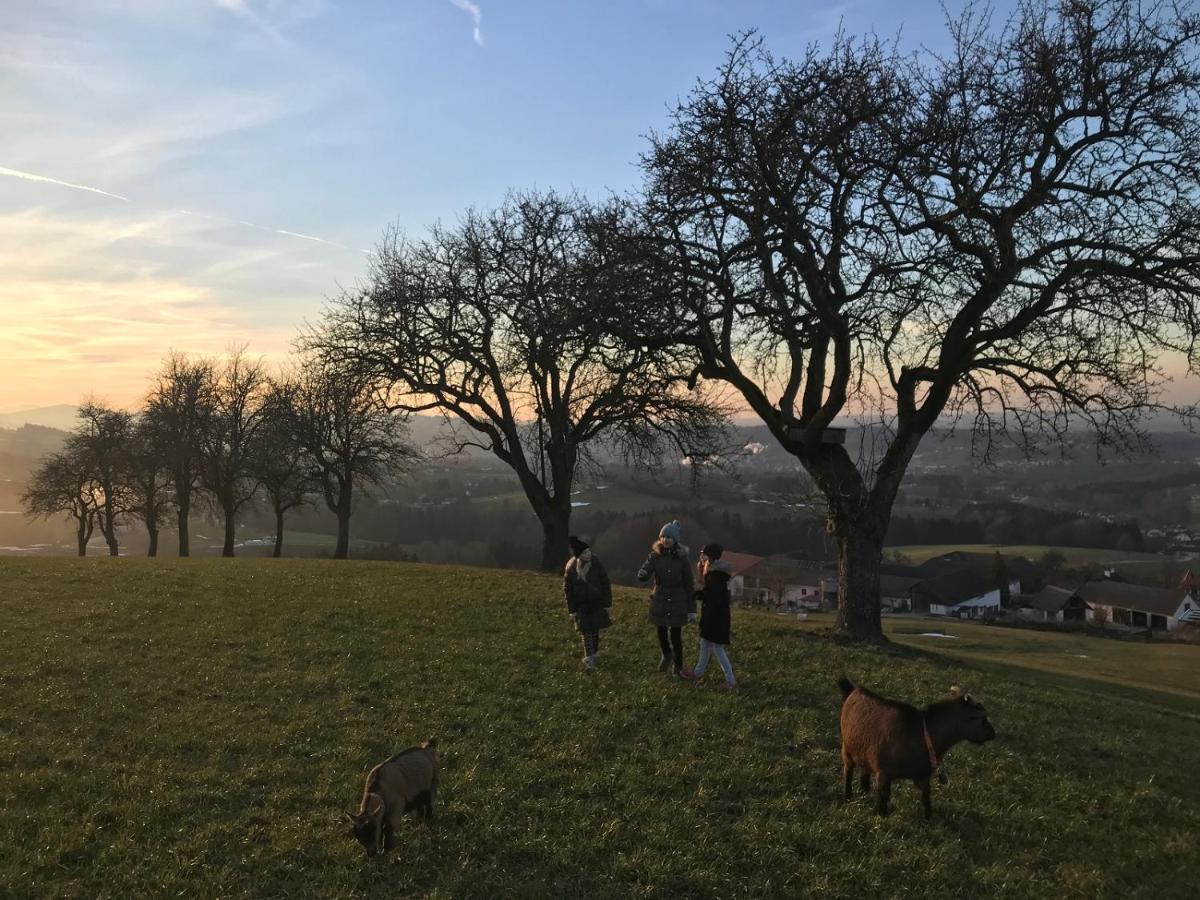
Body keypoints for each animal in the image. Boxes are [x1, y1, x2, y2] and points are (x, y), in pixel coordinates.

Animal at [835, 681, 993, 820]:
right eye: (979, 718)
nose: (993, 733)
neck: (923, 734)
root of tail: (853, 691)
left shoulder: (922, 775)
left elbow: (926, 796)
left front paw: (929, 818)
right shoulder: (883, 773)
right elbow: (884, 796)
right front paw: (882, 816)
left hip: (864, 754)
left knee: (864, 772)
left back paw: (864, 792)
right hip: (846, 750)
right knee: (848, 772)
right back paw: (848, 797)